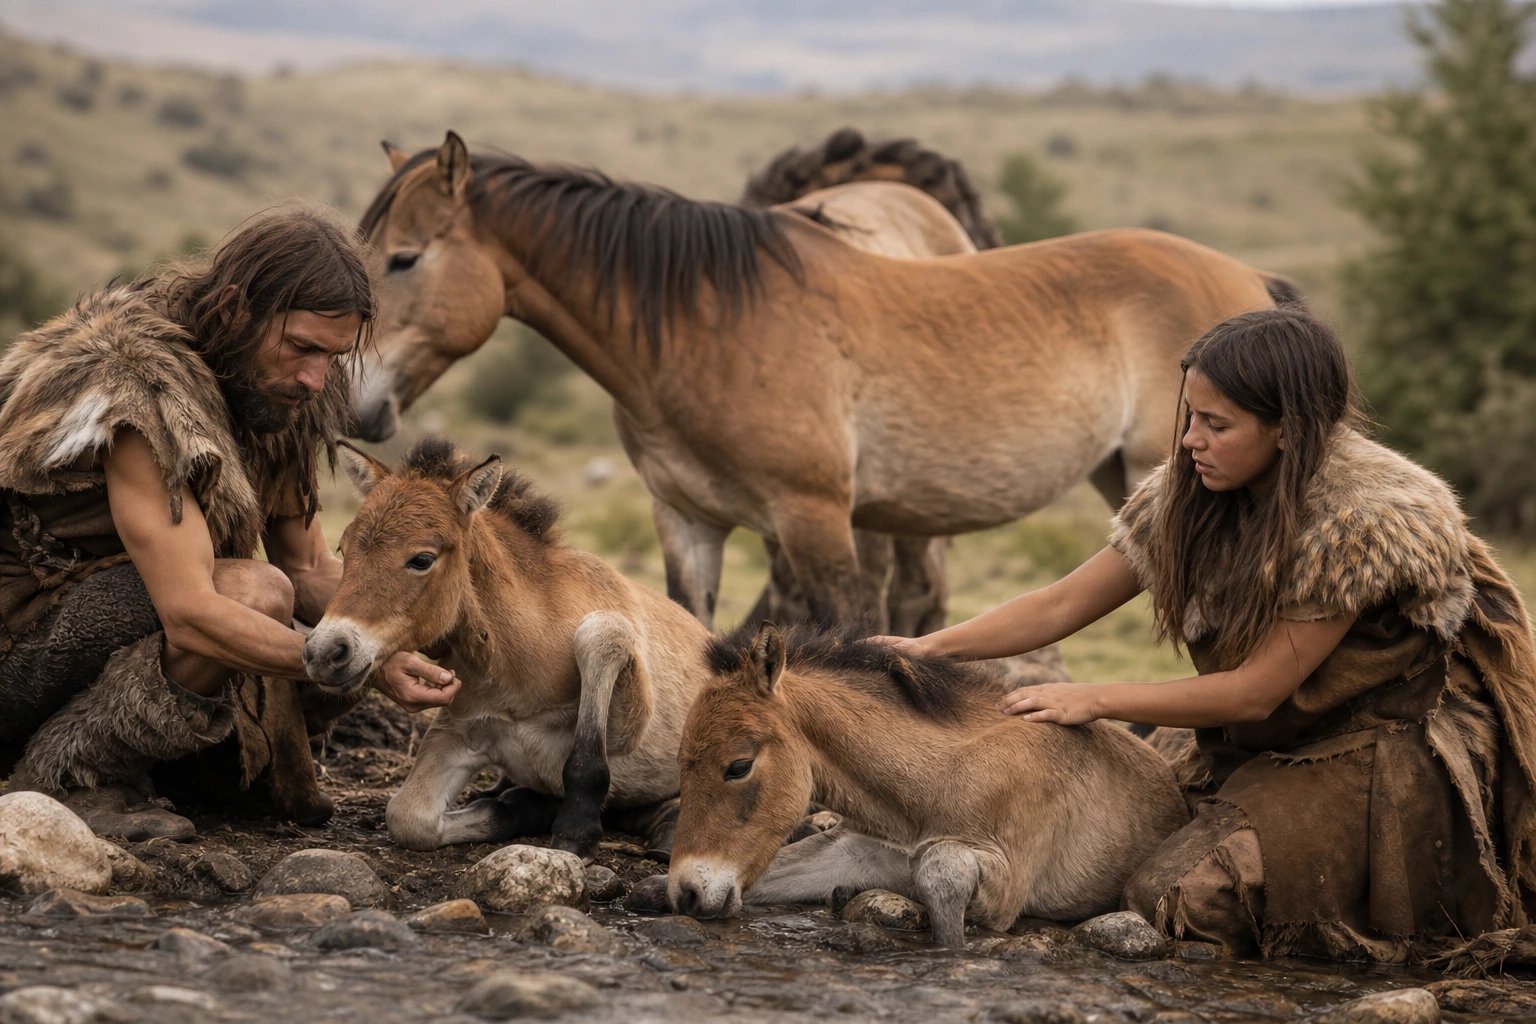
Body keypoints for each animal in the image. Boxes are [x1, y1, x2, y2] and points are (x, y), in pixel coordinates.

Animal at [301, 438, 713, 857]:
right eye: (343, 548)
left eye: (422, 559)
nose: (325, 651)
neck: (522, 658)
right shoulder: (459, 732)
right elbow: (408, 816)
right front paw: (516, 808)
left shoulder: (628, 718)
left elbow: (598, 638)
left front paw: (576, 827)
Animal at [356, 130, 1295, 627]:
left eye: (404, 258)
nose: (361, 407)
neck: (708, 328)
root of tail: (1255, 288)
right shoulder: (687, 521)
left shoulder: (813, 521)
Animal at [667, 623, 1189, 947]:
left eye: (738, 766)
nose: (687, 893)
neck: (940, 778)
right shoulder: (858, 850)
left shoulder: (1006, 884)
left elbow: (940, 871)